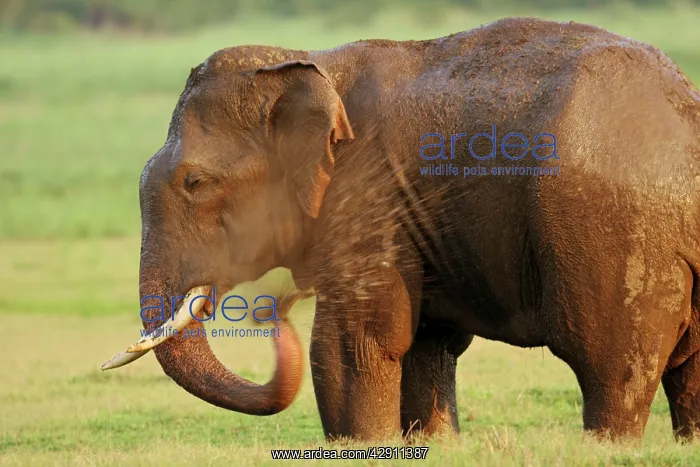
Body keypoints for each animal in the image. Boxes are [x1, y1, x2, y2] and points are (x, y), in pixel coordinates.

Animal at [102, 17, 700, 442]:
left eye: (194, 182)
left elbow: (355, 341)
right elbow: (426, 341)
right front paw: (433, 444)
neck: (312, 63)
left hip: (614, 236)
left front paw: (360, 447)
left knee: (611, 364)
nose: (276, 318)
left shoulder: (367, 196)